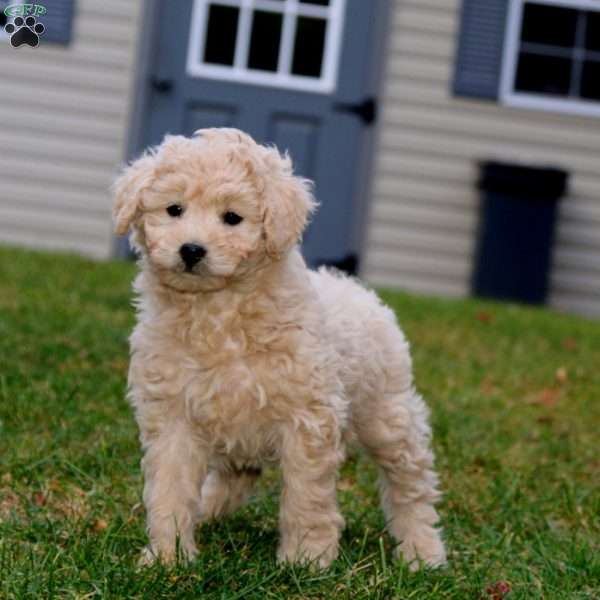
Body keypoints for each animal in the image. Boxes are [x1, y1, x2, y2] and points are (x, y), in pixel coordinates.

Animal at [115, 129, 448, 568]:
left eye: (232, 218)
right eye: (174, 209)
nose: (191, 250)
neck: (220, 313)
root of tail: (359, 290)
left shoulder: (307, 419)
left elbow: (306, 496)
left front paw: (306, 560)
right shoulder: (174, 415)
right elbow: (171, 488)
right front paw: (167, 557)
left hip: (386, 415)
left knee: (411, 483)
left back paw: (422, 552)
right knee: (233, 478)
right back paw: (207, 512)